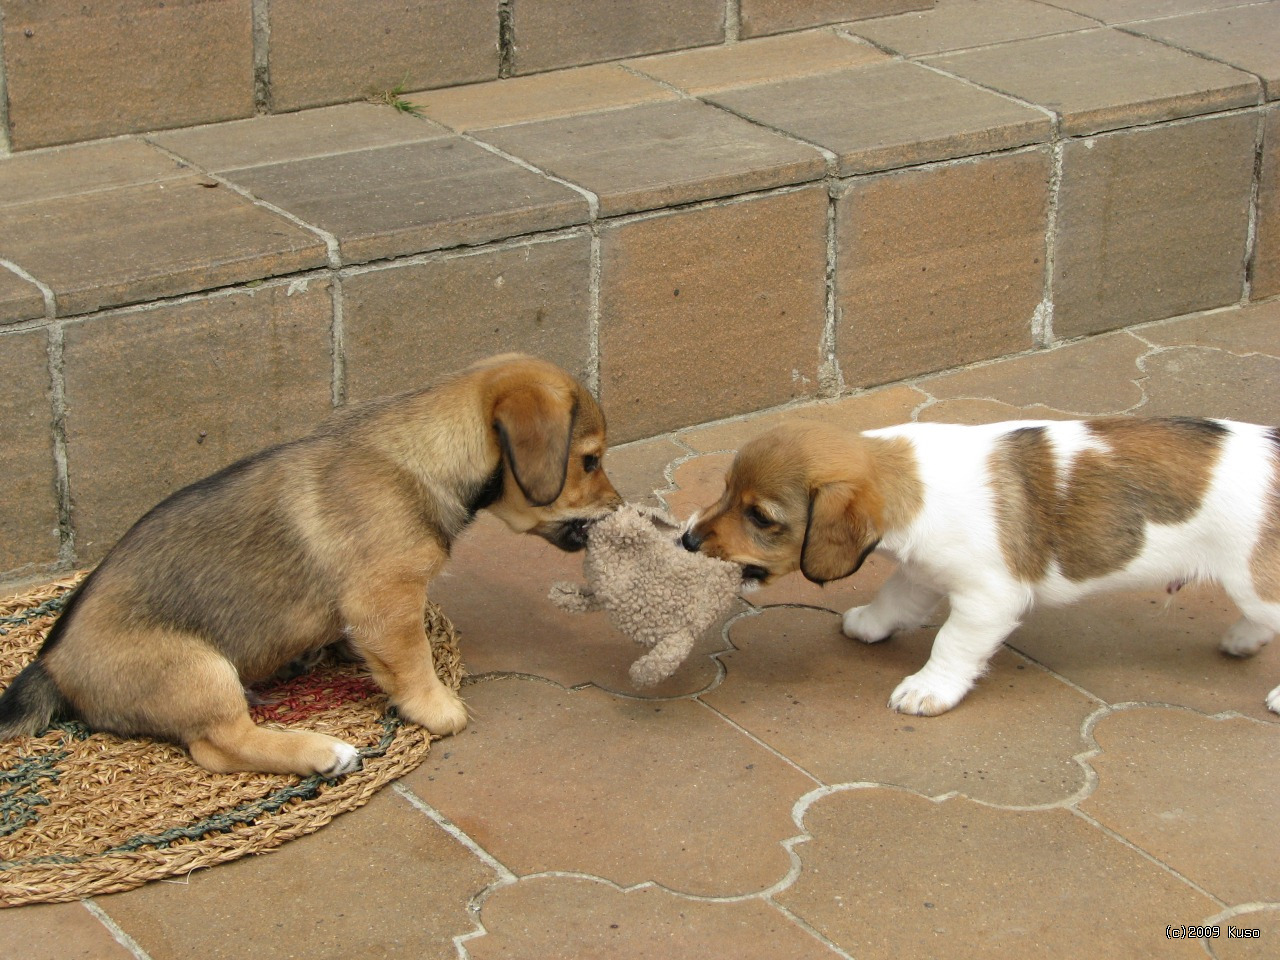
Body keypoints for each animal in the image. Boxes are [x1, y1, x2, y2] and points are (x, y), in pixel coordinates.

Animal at [0, 358, 622, 778]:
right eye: (589, 460)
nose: (619, 508)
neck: (423, 458)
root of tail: (50, 665)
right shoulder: (386, 603)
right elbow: (414, 661)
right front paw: (439, 709)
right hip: (198, 670)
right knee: (219, 746)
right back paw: (323, 752)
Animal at [686, 417, 1280, 716]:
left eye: (761, 517)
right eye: (725, 490)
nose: (688, 539)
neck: (910, 480)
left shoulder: (987, 599)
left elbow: (950, 644)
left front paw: (928, 689)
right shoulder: (922, 571)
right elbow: (893, 600)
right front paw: (868, 624)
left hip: (1255, 580)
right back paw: (1241, 640)